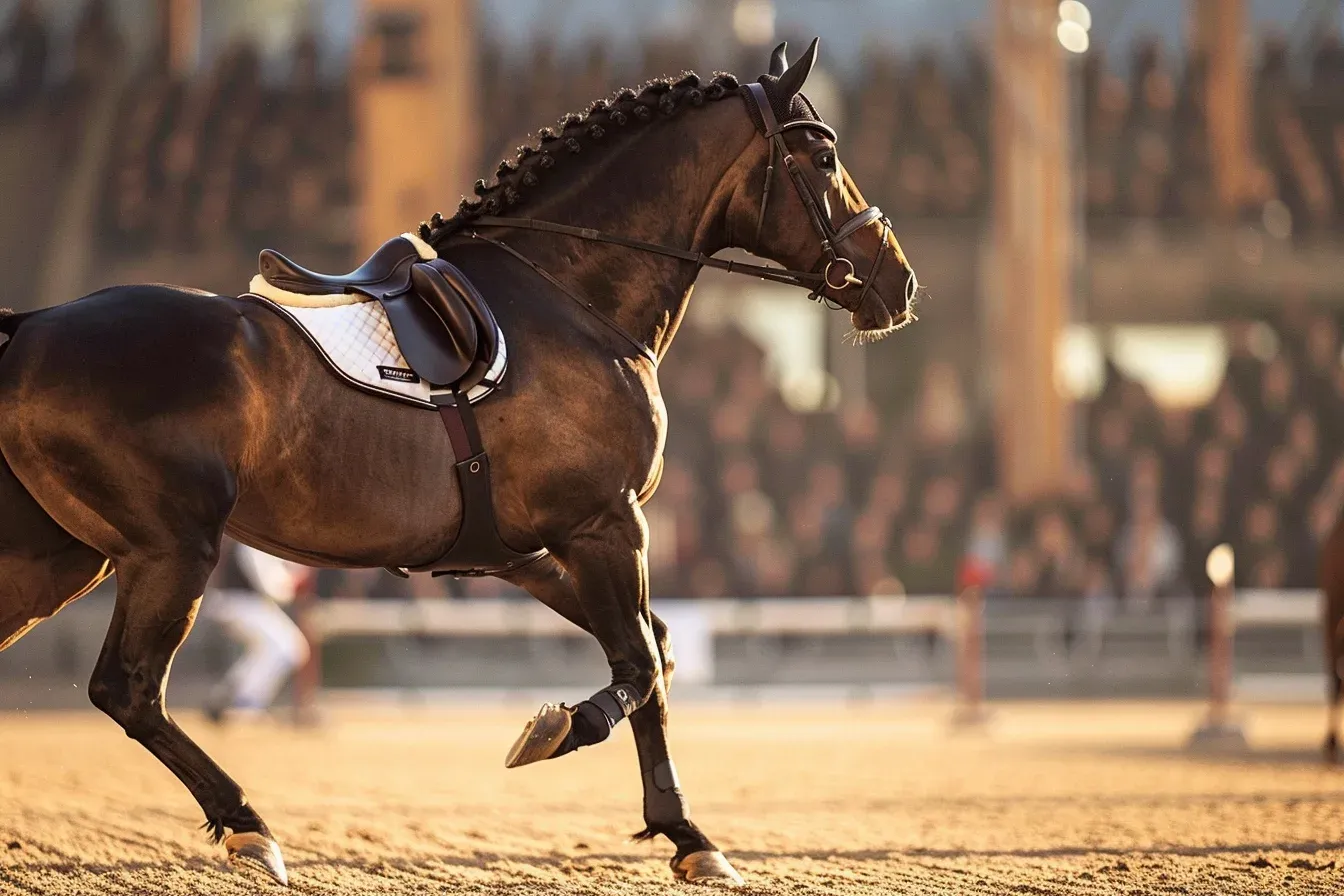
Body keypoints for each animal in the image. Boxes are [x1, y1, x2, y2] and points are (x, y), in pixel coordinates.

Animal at [0, 39, 917, 887]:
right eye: (824, 157)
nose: (897, 284)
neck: (568, 294)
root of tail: (35, 325)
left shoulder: (527, 550)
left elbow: (651, 649)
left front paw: (637, 792)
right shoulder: (608, 525)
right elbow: (639, 666)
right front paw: (661, 814)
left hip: (62, 556)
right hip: (168, 551)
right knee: (128, 688)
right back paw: (250, 826)